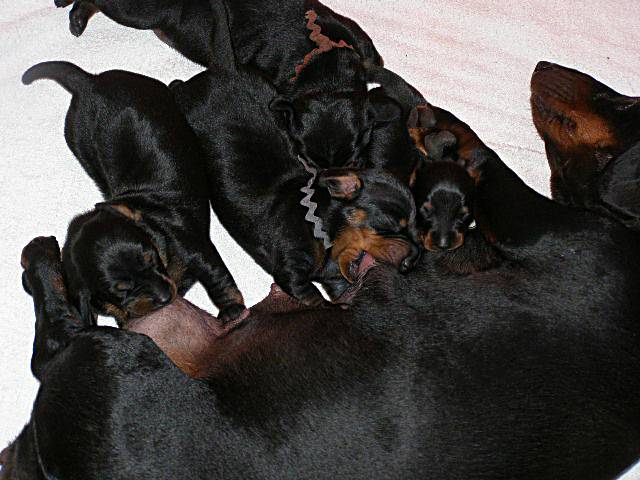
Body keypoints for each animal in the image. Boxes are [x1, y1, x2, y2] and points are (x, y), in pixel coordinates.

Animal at [21, 62, 245, 326]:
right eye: (121, 288)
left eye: (151, 260)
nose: (165, 296)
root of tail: (88, 82)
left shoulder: (192, 246)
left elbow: (215, 275)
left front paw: (231, 309)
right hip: (78, 139)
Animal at [172, 66, 418, 308]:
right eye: (390, 225)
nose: (412, 261)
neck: (324, 227)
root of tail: (203, 77)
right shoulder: (292, 272)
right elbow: (316, 300)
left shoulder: (335, 278)